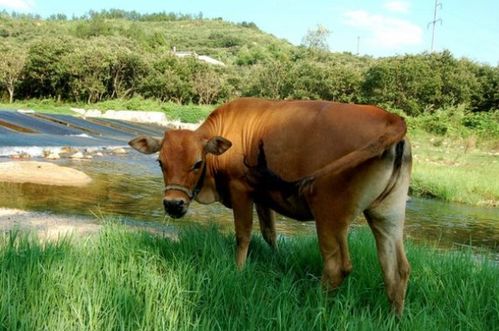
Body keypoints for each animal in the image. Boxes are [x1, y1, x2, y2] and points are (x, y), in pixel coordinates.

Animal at [131, 97, 412, 316]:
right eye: (160, 162)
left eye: (197, 163)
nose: (173, 204)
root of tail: (390, 118)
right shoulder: (262, 197)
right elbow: (270, 233)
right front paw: (277, 260)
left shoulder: (241, 190)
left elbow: (243, 235)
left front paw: (238, 270)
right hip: (387, 215)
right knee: (397, 269)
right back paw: (394, 318)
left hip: (329, 214)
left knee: (337, 267)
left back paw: (315, 306)